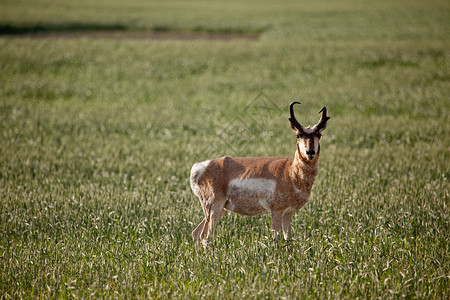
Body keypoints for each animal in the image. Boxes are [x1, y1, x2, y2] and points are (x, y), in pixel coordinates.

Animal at [190, 102, 330, 245]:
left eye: (319, 135)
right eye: (298, 135)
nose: (310, 152)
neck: (290, 172)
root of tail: (200, 167)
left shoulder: (288, 213)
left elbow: (288, 239)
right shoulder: (276, 212)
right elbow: (276, 239)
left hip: (220, 209)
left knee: (196, 233)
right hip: (214, 208)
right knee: (204, 237)